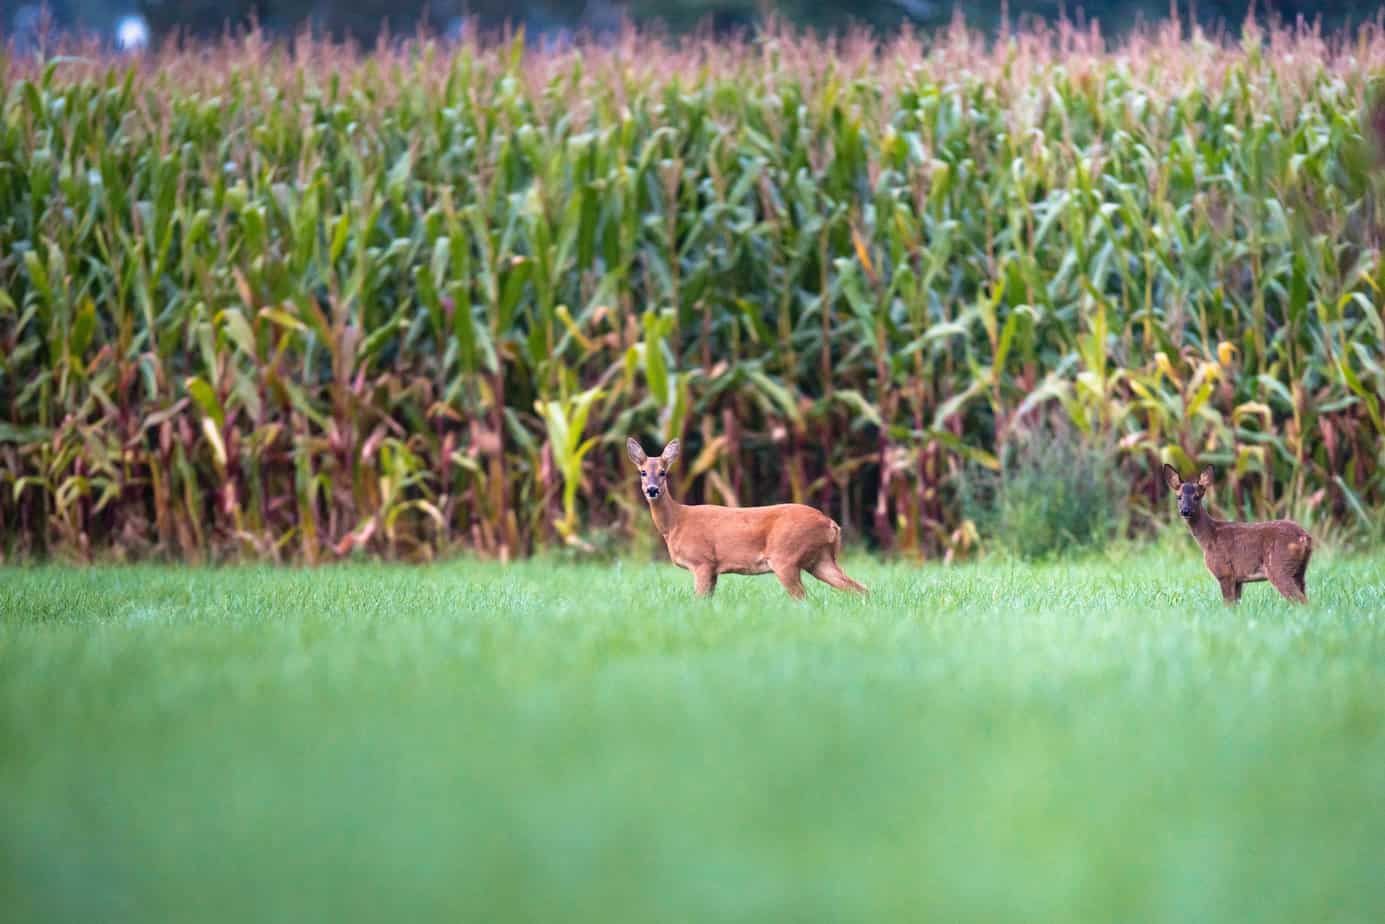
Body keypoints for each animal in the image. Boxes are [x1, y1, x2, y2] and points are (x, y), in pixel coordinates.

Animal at [628, 440, 864, 603]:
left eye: (663, 472)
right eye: (642, 472)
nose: (652, 490)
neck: (676, 522)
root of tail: (831, 523)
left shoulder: (702, 561)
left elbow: (699, 600)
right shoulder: (713, 569)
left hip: (786, 556)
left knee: (803, 597)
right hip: (821, 559)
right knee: (859, 588)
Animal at [1163, 462, 1312, 606]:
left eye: (1197, 497)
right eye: (1178, 497)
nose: (1185, 511)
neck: (1209, 537)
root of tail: (1304, 537)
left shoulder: (1224, 571)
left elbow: (1228, 604)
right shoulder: (1238, 579)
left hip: (1279, 567)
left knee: (1301, 601)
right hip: (1299, 571)